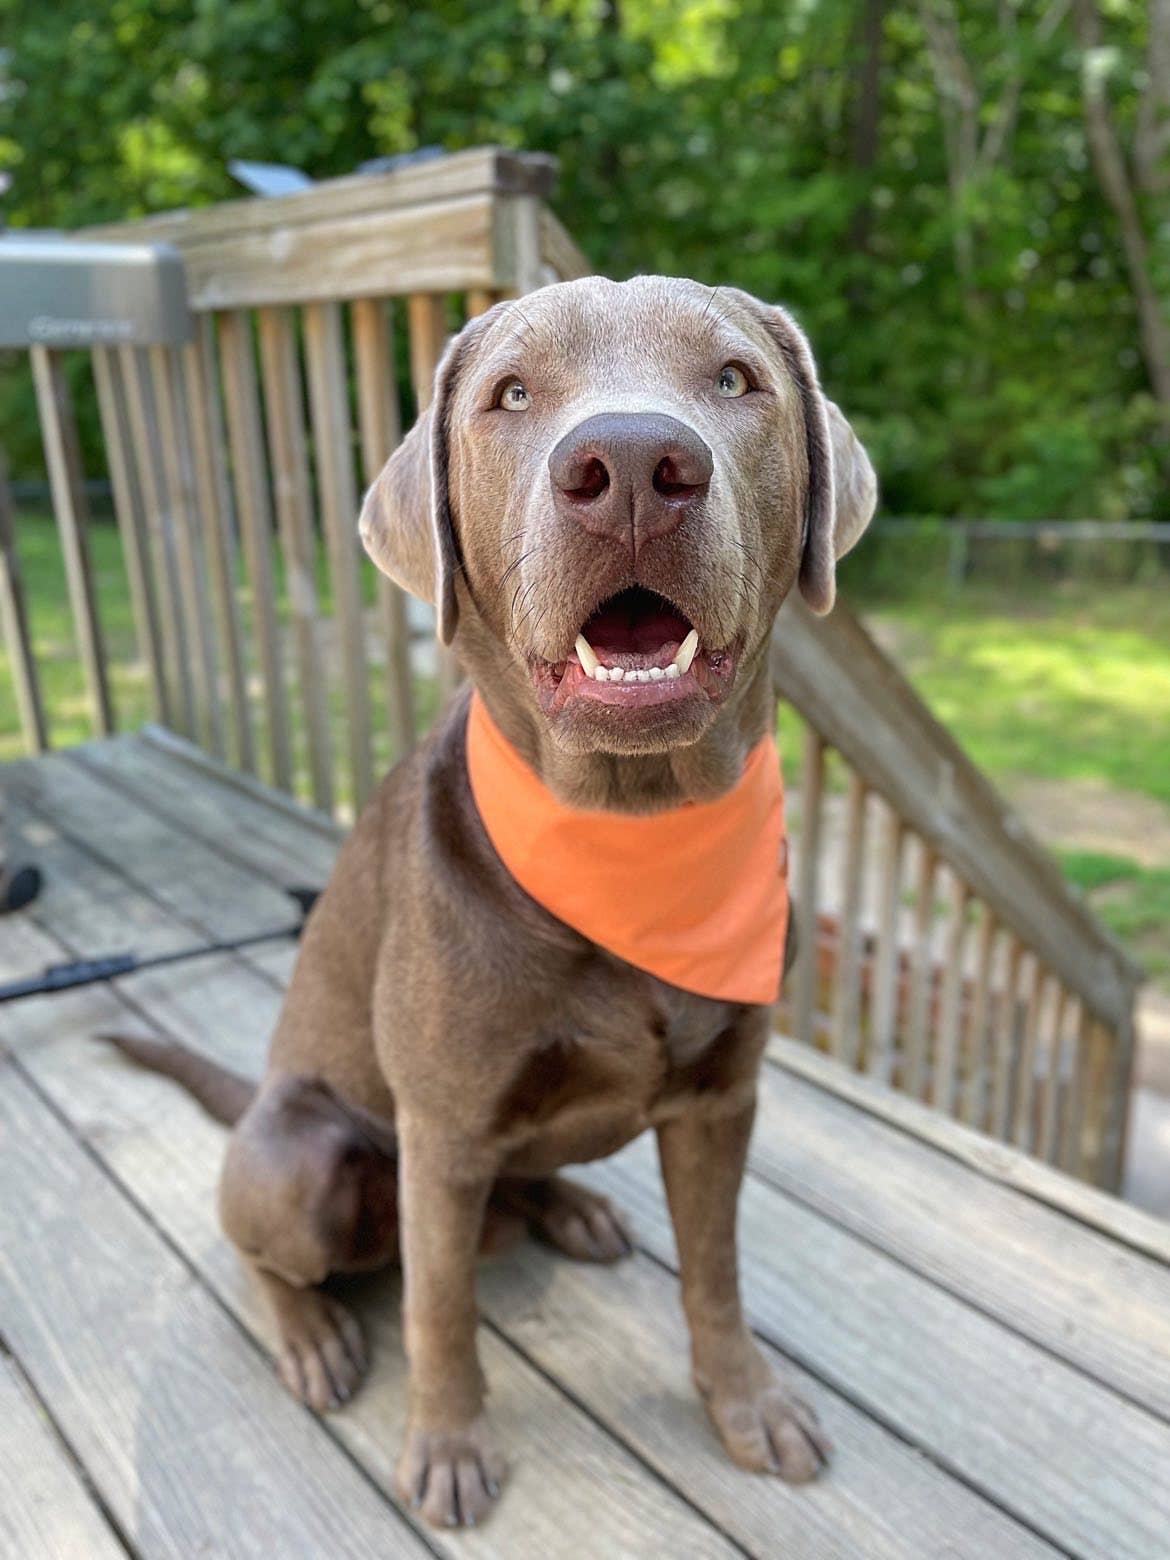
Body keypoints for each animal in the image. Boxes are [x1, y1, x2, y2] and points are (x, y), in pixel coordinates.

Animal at [107, 277, 879, 1522]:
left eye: (733, 378)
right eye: (512, 395)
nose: (633, 464)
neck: (628, 834)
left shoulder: (722, 1100)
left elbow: (715, 1273)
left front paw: (748, 1403)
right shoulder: (444, 1131)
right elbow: (440, 1309)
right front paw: (449, 1444)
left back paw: (570, 1210)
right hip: (300, 1151)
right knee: (268, 1251)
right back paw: (311, 1333)